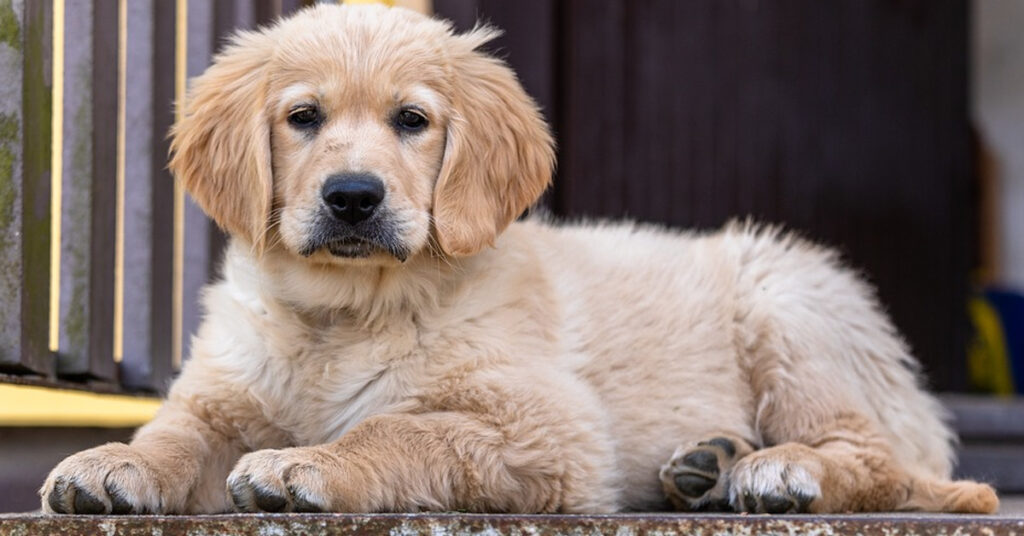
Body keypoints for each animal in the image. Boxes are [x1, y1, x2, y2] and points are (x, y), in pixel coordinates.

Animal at [44, 4, 995, 516]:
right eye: (303, 117)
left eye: (413, 121)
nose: (353, 197)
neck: (346, 310)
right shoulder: (220, 395)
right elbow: (174, 431)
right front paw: (113, 464)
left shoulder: (551, 431)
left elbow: (400, 426)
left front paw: (305, 463)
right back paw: (705, 466)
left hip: (788, 306)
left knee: (886, 463)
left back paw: (773, 471)